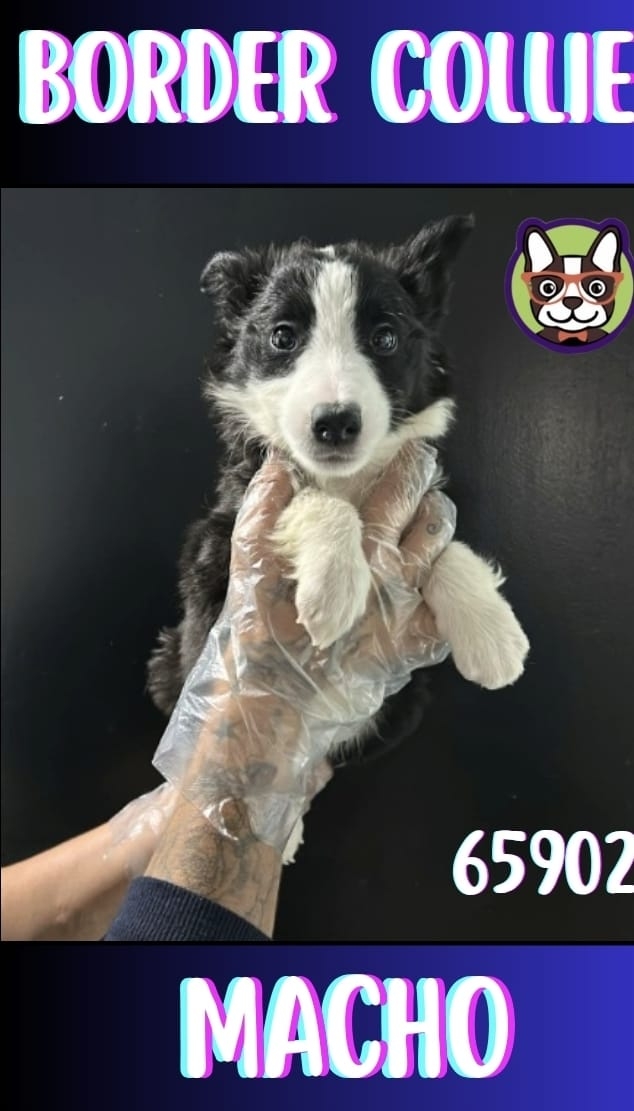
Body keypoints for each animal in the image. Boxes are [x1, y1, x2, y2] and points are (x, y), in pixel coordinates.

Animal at [148, 217, 530, 780]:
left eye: (385, 337)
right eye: (283, 336)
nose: (335, 423)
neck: (345, 479)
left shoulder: (422, 498)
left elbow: (446, 544)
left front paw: (492, 629)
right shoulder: (222, 528)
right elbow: (311, 501)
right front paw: (332, 585)